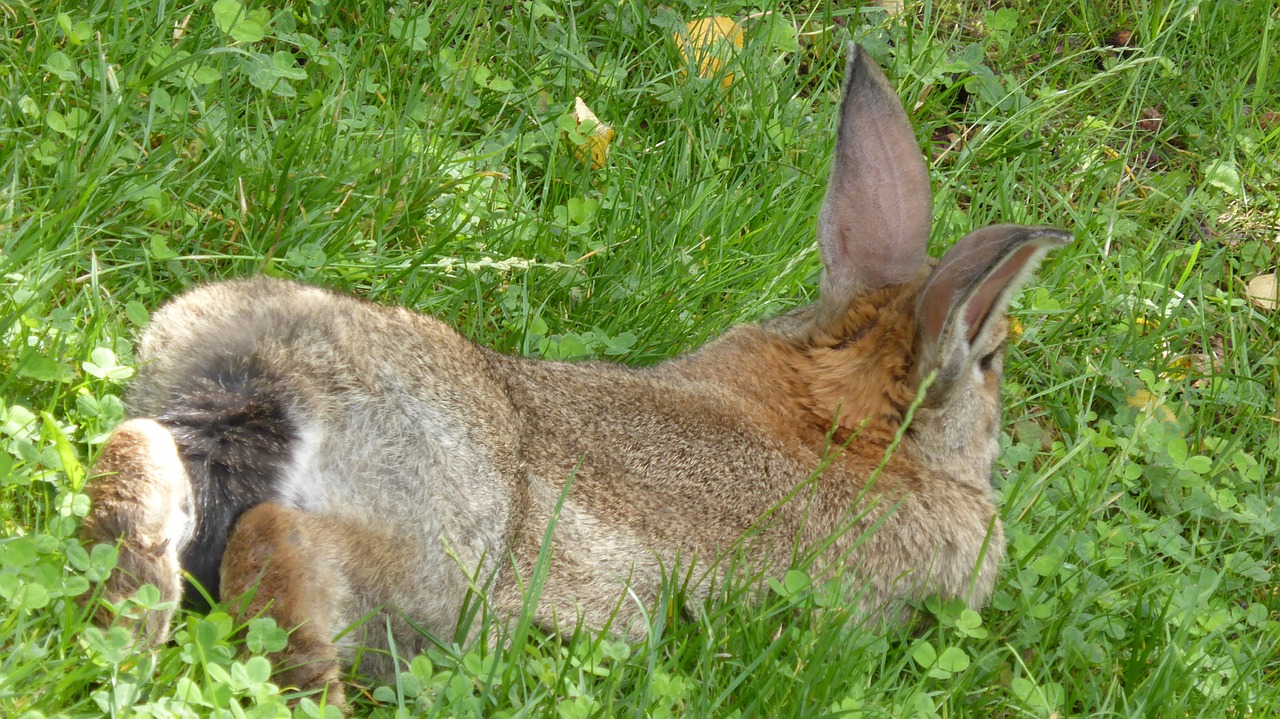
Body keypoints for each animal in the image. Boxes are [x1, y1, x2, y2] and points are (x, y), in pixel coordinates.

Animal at [82, 44, 1070, 706]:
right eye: (989, 362)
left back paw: (125, 620)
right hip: (446, 557)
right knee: (280, 541)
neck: (842, 417)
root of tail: (277, 377)